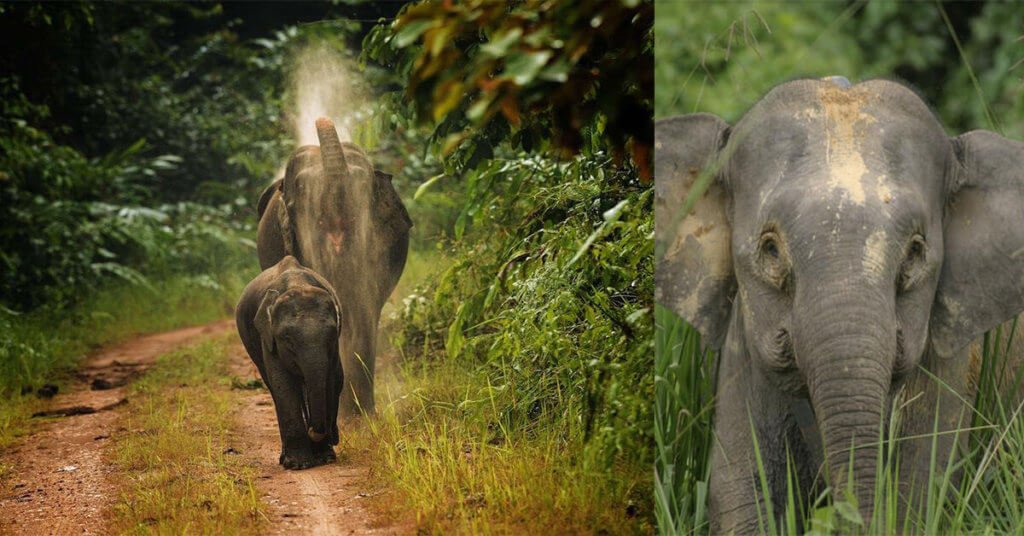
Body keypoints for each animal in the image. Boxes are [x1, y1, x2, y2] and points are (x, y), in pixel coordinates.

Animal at [235, 256, 344, 469]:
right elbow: (283, 385)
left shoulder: (334, 348)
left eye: (330, 336)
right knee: (274, 387)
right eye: (287, 339)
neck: (297, 284)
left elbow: (332, 380)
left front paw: (324, 458)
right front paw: (298, 465)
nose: (331, 435)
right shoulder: (268, 338)